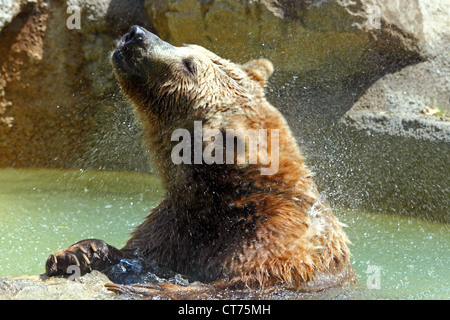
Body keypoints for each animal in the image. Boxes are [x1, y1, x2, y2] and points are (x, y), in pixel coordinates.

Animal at [45, 25, 356, 296]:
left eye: (189, 64)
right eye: (187, 47)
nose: (136, 34)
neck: (219, 198)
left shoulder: (277, 240)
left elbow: (245, 281)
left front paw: (148, 288)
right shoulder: (175, 227)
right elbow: (139, 252)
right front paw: (75, 253)